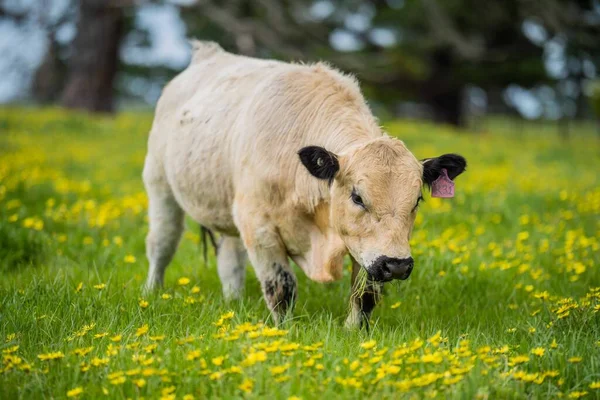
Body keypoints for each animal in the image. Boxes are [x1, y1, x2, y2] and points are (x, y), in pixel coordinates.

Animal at [143, 41, 466, 328]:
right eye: (357, 197)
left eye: (416, 201)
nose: (397, 264)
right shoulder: (259, 227)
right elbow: (281, 288)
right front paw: (285, 331)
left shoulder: (366, 250)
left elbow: (365, 295)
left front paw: (355, 333)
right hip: (160, 186)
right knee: (162, 243)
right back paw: (151, 293)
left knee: (230, 260)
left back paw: (233, 301)